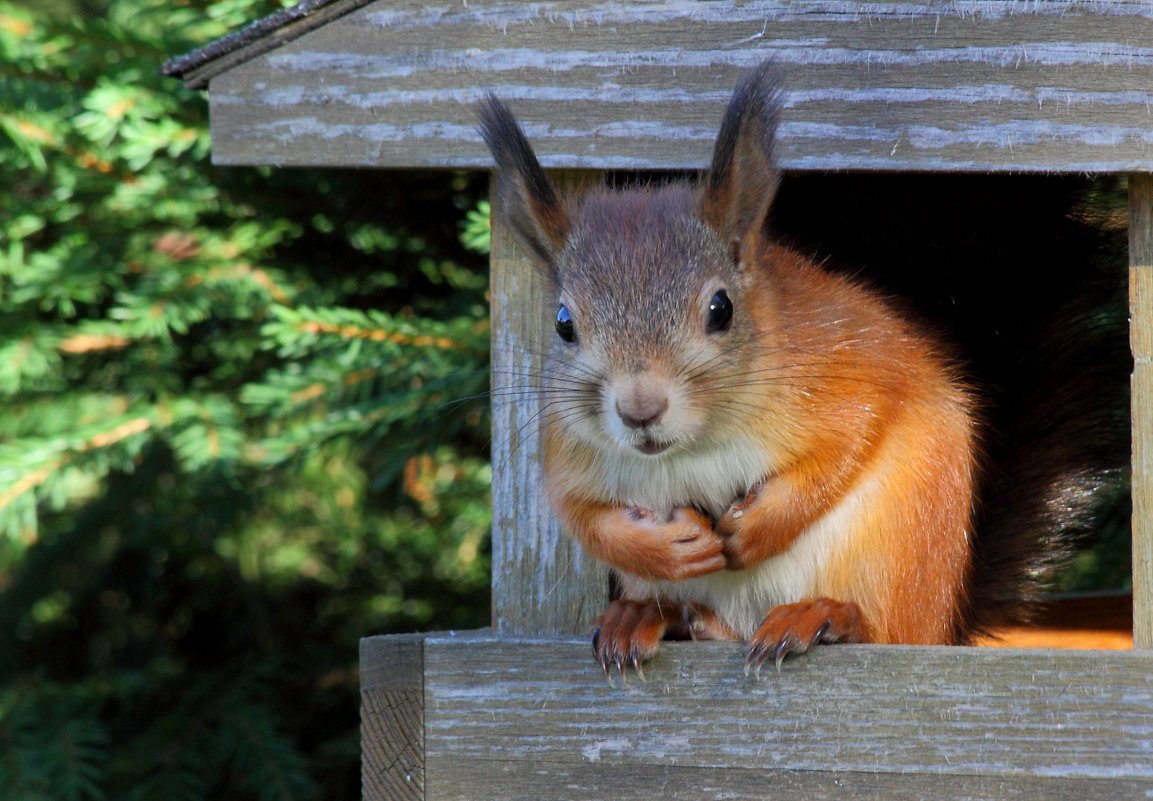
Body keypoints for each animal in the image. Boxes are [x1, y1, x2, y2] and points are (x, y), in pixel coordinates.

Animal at [477, 64, 1010, 677]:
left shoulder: (844, 367)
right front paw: (658, 549)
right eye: (563, 323)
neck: (694, 448)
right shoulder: (567, 450)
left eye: (721, 308)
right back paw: (650, 616)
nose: (640, 409)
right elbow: (580, 515)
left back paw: (826, 616)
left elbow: (852, 435)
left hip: (907, 541)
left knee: (890, 630)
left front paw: (759, 527)